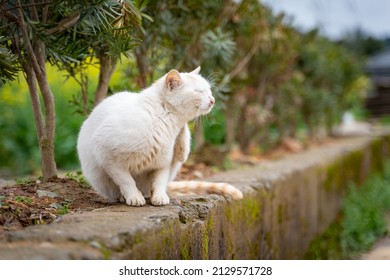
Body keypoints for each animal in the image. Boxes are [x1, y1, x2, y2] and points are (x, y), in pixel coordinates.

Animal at [76, 65, 242, 206]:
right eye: (199, 92)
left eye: (209, 91)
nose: (213, 100)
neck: (164, 119)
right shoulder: (108, 156)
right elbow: (126, 181)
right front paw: (134, 197)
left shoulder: (164, 163)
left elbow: (159, 182)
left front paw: (159, 197)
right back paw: (127, 197)